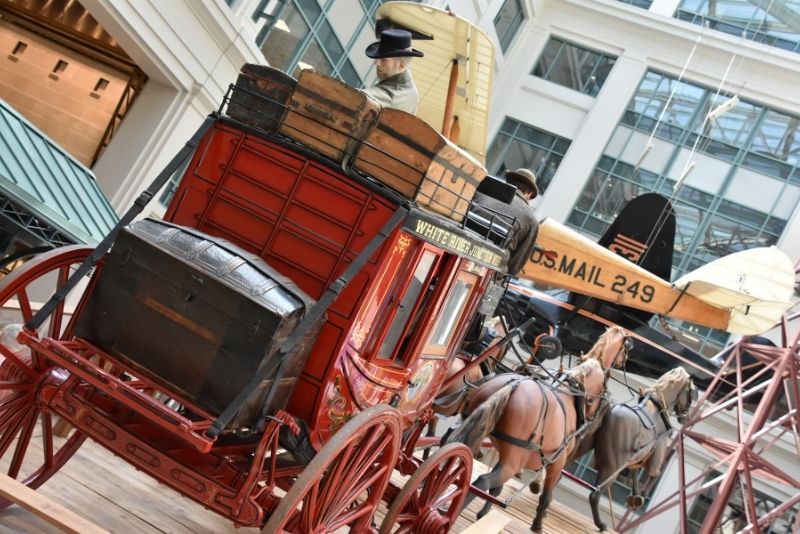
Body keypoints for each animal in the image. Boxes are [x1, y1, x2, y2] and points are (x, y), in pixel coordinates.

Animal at [444, 358, 608, 532]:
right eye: (604, 389)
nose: (593, 422)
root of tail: (514, 384)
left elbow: (497, 489)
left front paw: (483, 514)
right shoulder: (556, 463)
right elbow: (545, 496)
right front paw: (537, 525)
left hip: (473, 429)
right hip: (513, 463)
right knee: (482, 481)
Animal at [584, 368, 696, 532]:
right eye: (691, 392)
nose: (686, 418)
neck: (656, 411)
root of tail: (611, 411)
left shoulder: (636, 459)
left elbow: (635, 472)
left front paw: (635, 497)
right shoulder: (656, 460)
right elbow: (655, 475)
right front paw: (642, 495)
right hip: (612, 468)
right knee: (594, 495)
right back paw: (600, 524)